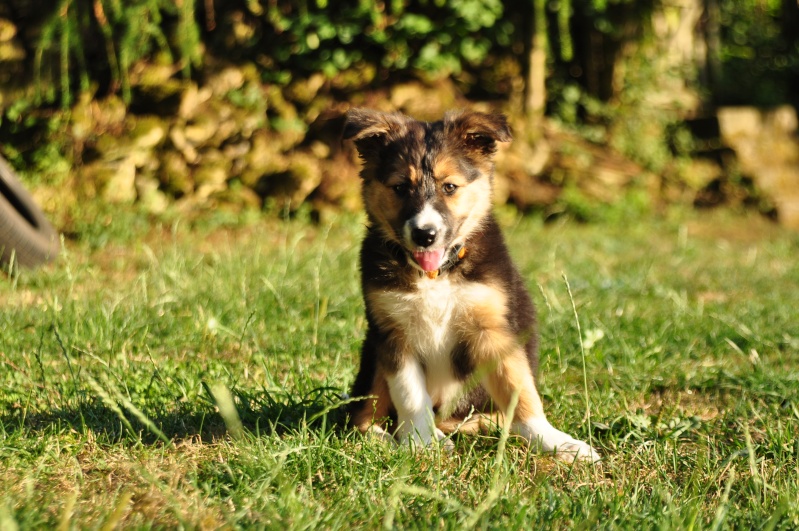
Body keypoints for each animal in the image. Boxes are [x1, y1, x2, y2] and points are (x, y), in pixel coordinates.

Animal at [344, 108, 600, 462]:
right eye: (400, 188)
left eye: (450, 186)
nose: (425, 235)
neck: (435, 275)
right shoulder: (393, 333)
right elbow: (410, 394)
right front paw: (422, 443)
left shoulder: (493, 330)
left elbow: (520, 392)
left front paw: (557, 442)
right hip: (372, 357)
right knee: (361, 418)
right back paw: (394, 438)